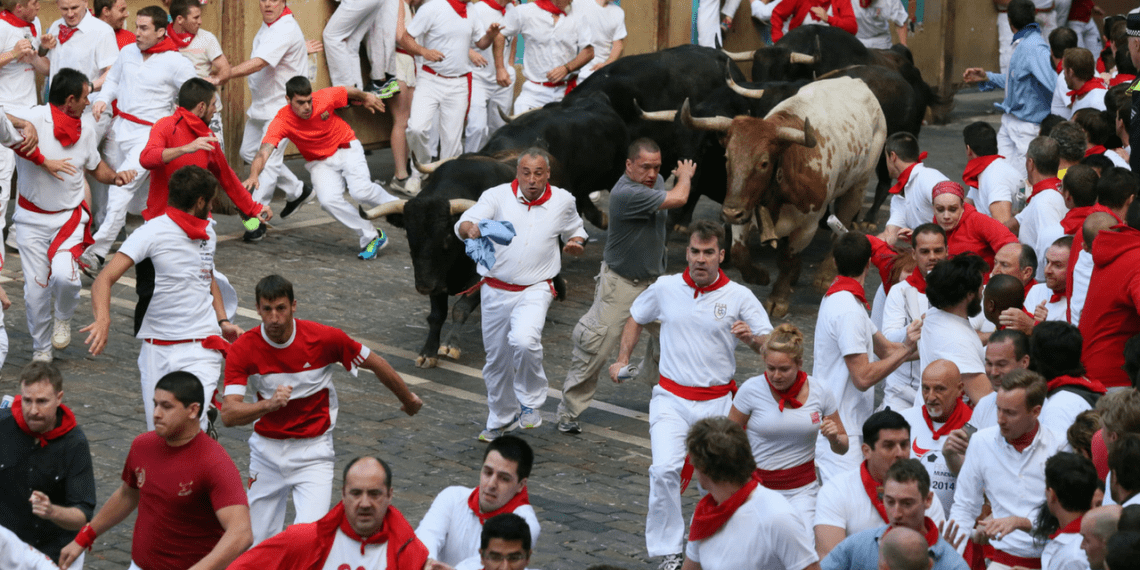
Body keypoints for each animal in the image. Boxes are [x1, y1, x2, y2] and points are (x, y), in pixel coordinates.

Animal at [679, 75, 884, 319]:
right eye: (727, 157)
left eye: (764, 162)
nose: (729, 212)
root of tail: (856, 80)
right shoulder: (745, 209)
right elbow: (739, 252)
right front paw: (760, 276)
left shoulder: (807, 225)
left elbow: (787, 258)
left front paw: (778, 298)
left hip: (859, 184)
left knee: (842, 224)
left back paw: (825, 274)